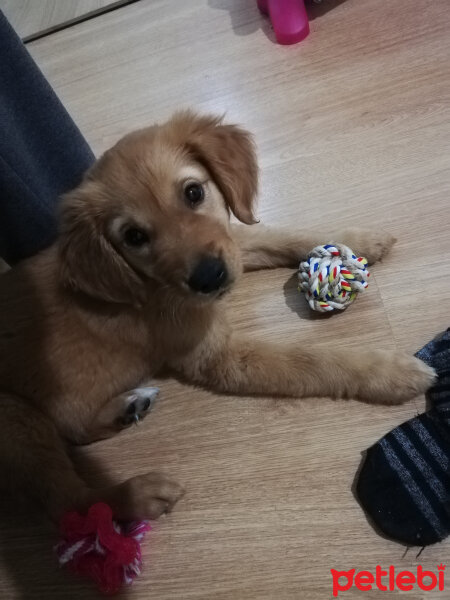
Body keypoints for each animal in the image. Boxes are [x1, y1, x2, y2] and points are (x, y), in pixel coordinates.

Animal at [0, 111, 436, 520]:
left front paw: (358, 240)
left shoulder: (231, 242)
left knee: (74, 434)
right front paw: (390, 372)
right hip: (16, 417)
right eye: (134, 237)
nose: (210, 279)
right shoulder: (218, 357)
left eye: (194, 192)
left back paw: (127, 408)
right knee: (67, 501)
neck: (150, 284)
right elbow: (309, 360)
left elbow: (280, 236)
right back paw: (138, 494)